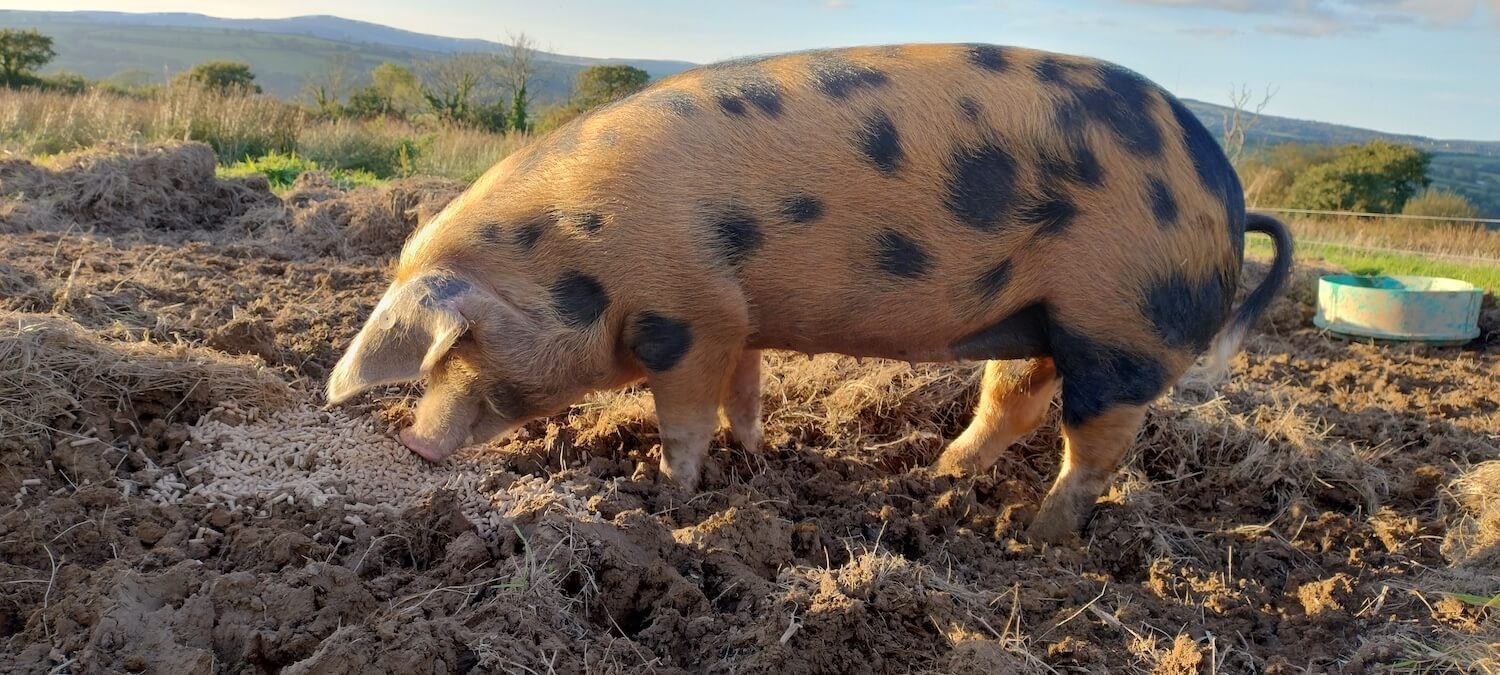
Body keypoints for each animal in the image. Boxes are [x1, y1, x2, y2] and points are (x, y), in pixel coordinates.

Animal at [325, 43, 1293, 544]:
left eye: (460, 343)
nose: (412, 443)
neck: (580, 249)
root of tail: (1227, 192)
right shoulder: (736, 314)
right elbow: (744, 393)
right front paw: (758, 460)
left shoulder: (689, 314)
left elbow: (684, 415)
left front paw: (670, 495)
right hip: (1042, 320)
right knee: (1012, 403)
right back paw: (935, 479)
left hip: (1120, 324)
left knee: (1097, 446)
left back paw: (1033, 537)